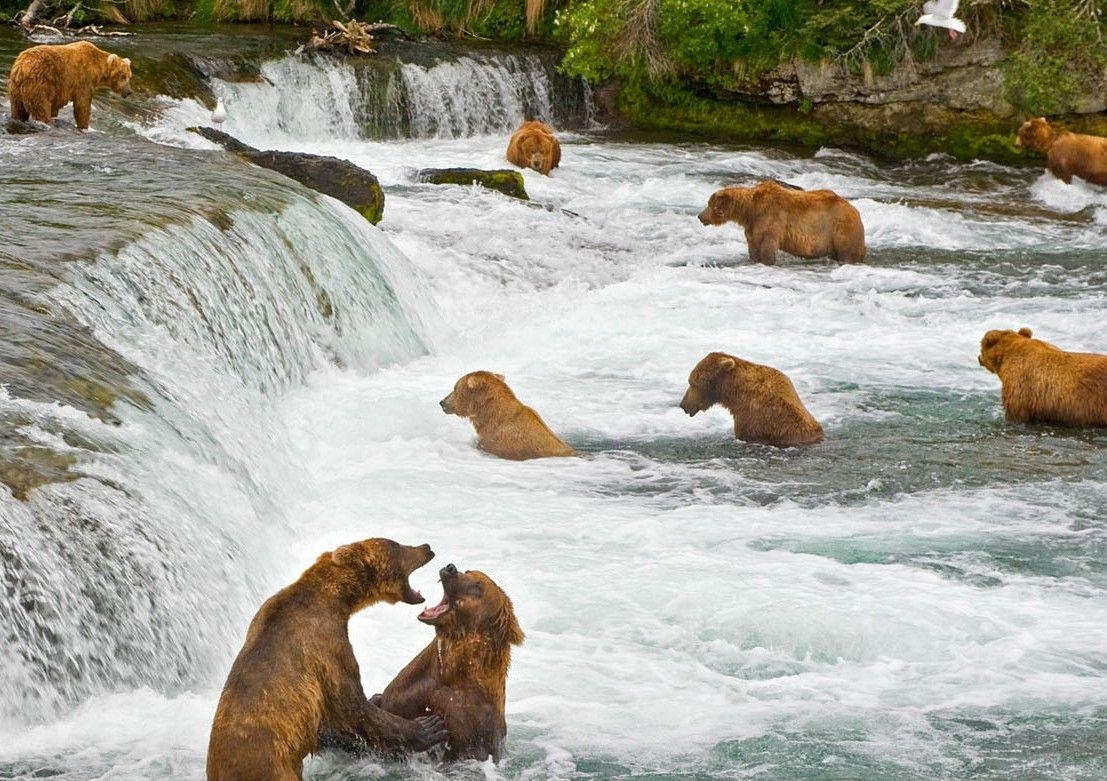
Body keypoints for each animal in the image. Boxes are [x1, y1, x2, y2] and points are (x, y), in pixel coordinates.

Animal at [205, 535, 447, 778]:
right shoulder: (328, 644)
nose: (426, 546)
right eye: (396, 545)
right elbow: (351, 703)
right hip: (274, 768)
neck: (336, 599)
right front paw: (427, 727)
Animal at [699, 179, 863, 264]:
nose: (700, 216)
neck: (750, 211)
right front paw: (754, 260)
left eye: (709, 204)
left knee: (848, 253)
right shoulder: (753, 227)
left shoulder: (770, 221)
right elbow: (753, 248)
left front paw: (767, 261)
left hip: (841, 229)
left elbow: (768, 248)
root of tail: (856, 211)